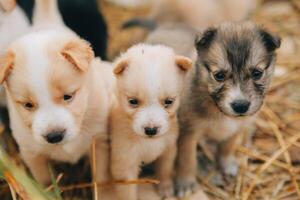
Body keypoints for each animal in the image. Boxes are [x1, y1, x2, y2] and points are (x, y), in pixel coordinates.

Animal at [110, 43, 192, 198]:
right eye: (133, 101)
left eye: (169, 102)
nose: (151, 130)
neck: (148, 142)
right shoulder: (125, 162)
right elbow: (128, 192)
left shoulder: (168, 150)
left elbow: (165, 170)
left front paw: (165, 187)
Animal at [176, 21, 282, 197]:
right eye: (219, 75)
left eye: (257, 73)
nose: (240, 106)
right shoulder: (188, 133)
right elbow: (187, 159)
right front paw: (185, 183)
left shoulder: (237, 128)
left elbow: (228, 146)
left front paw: (227, 163)